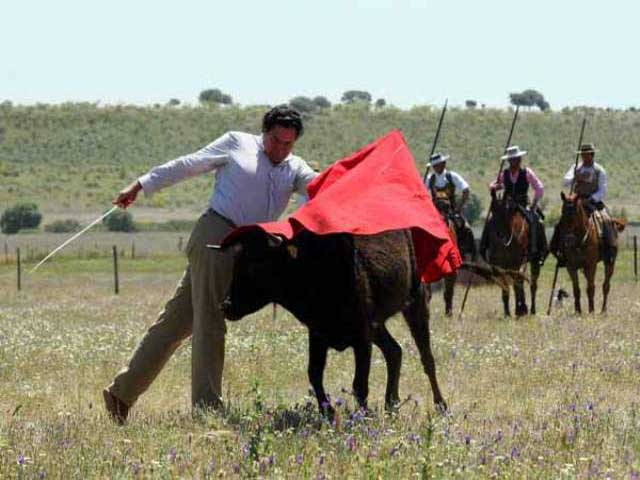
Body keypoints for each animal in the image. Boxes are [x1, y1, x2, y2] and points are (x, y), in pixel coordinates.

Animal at [215, 229, 444, 416]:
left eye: (256, 264)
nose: (226, 306)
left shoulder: (362, 338)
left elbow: (360, 384)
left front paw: (362, 417)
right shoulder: (318, 334)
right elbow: (314, 374)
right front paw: (328, 413)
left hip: (416, 303)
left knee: (427, 358)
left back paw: (440, 405)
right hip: (377, 325)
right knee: (394, 351)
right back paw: (391, 404)